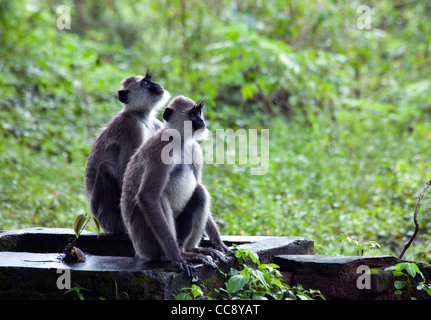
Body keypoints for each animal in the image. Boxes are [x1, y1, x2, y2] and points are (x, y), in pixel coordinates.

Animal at [84, 72, 170, 232]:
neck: (141, 116)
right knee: (105, 168)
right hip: (107, 216)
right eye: (145, 83)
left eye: (150, 81)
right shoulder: (132, 127)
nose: (157, 84)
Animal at [120, 94, 230, 276]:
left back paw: (192, 250)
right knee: (160, 198)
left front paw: (219, 244)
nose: (201, 120)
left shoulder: (194, 149)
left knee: (200, 192)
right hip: (145, 242)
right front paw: (177, 258)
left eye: (199, 113)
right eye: (192, 114)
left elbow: (197, 183)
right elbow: (147, 196)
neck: (179, 141)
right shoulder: (160, 150)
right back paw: (175, 255)